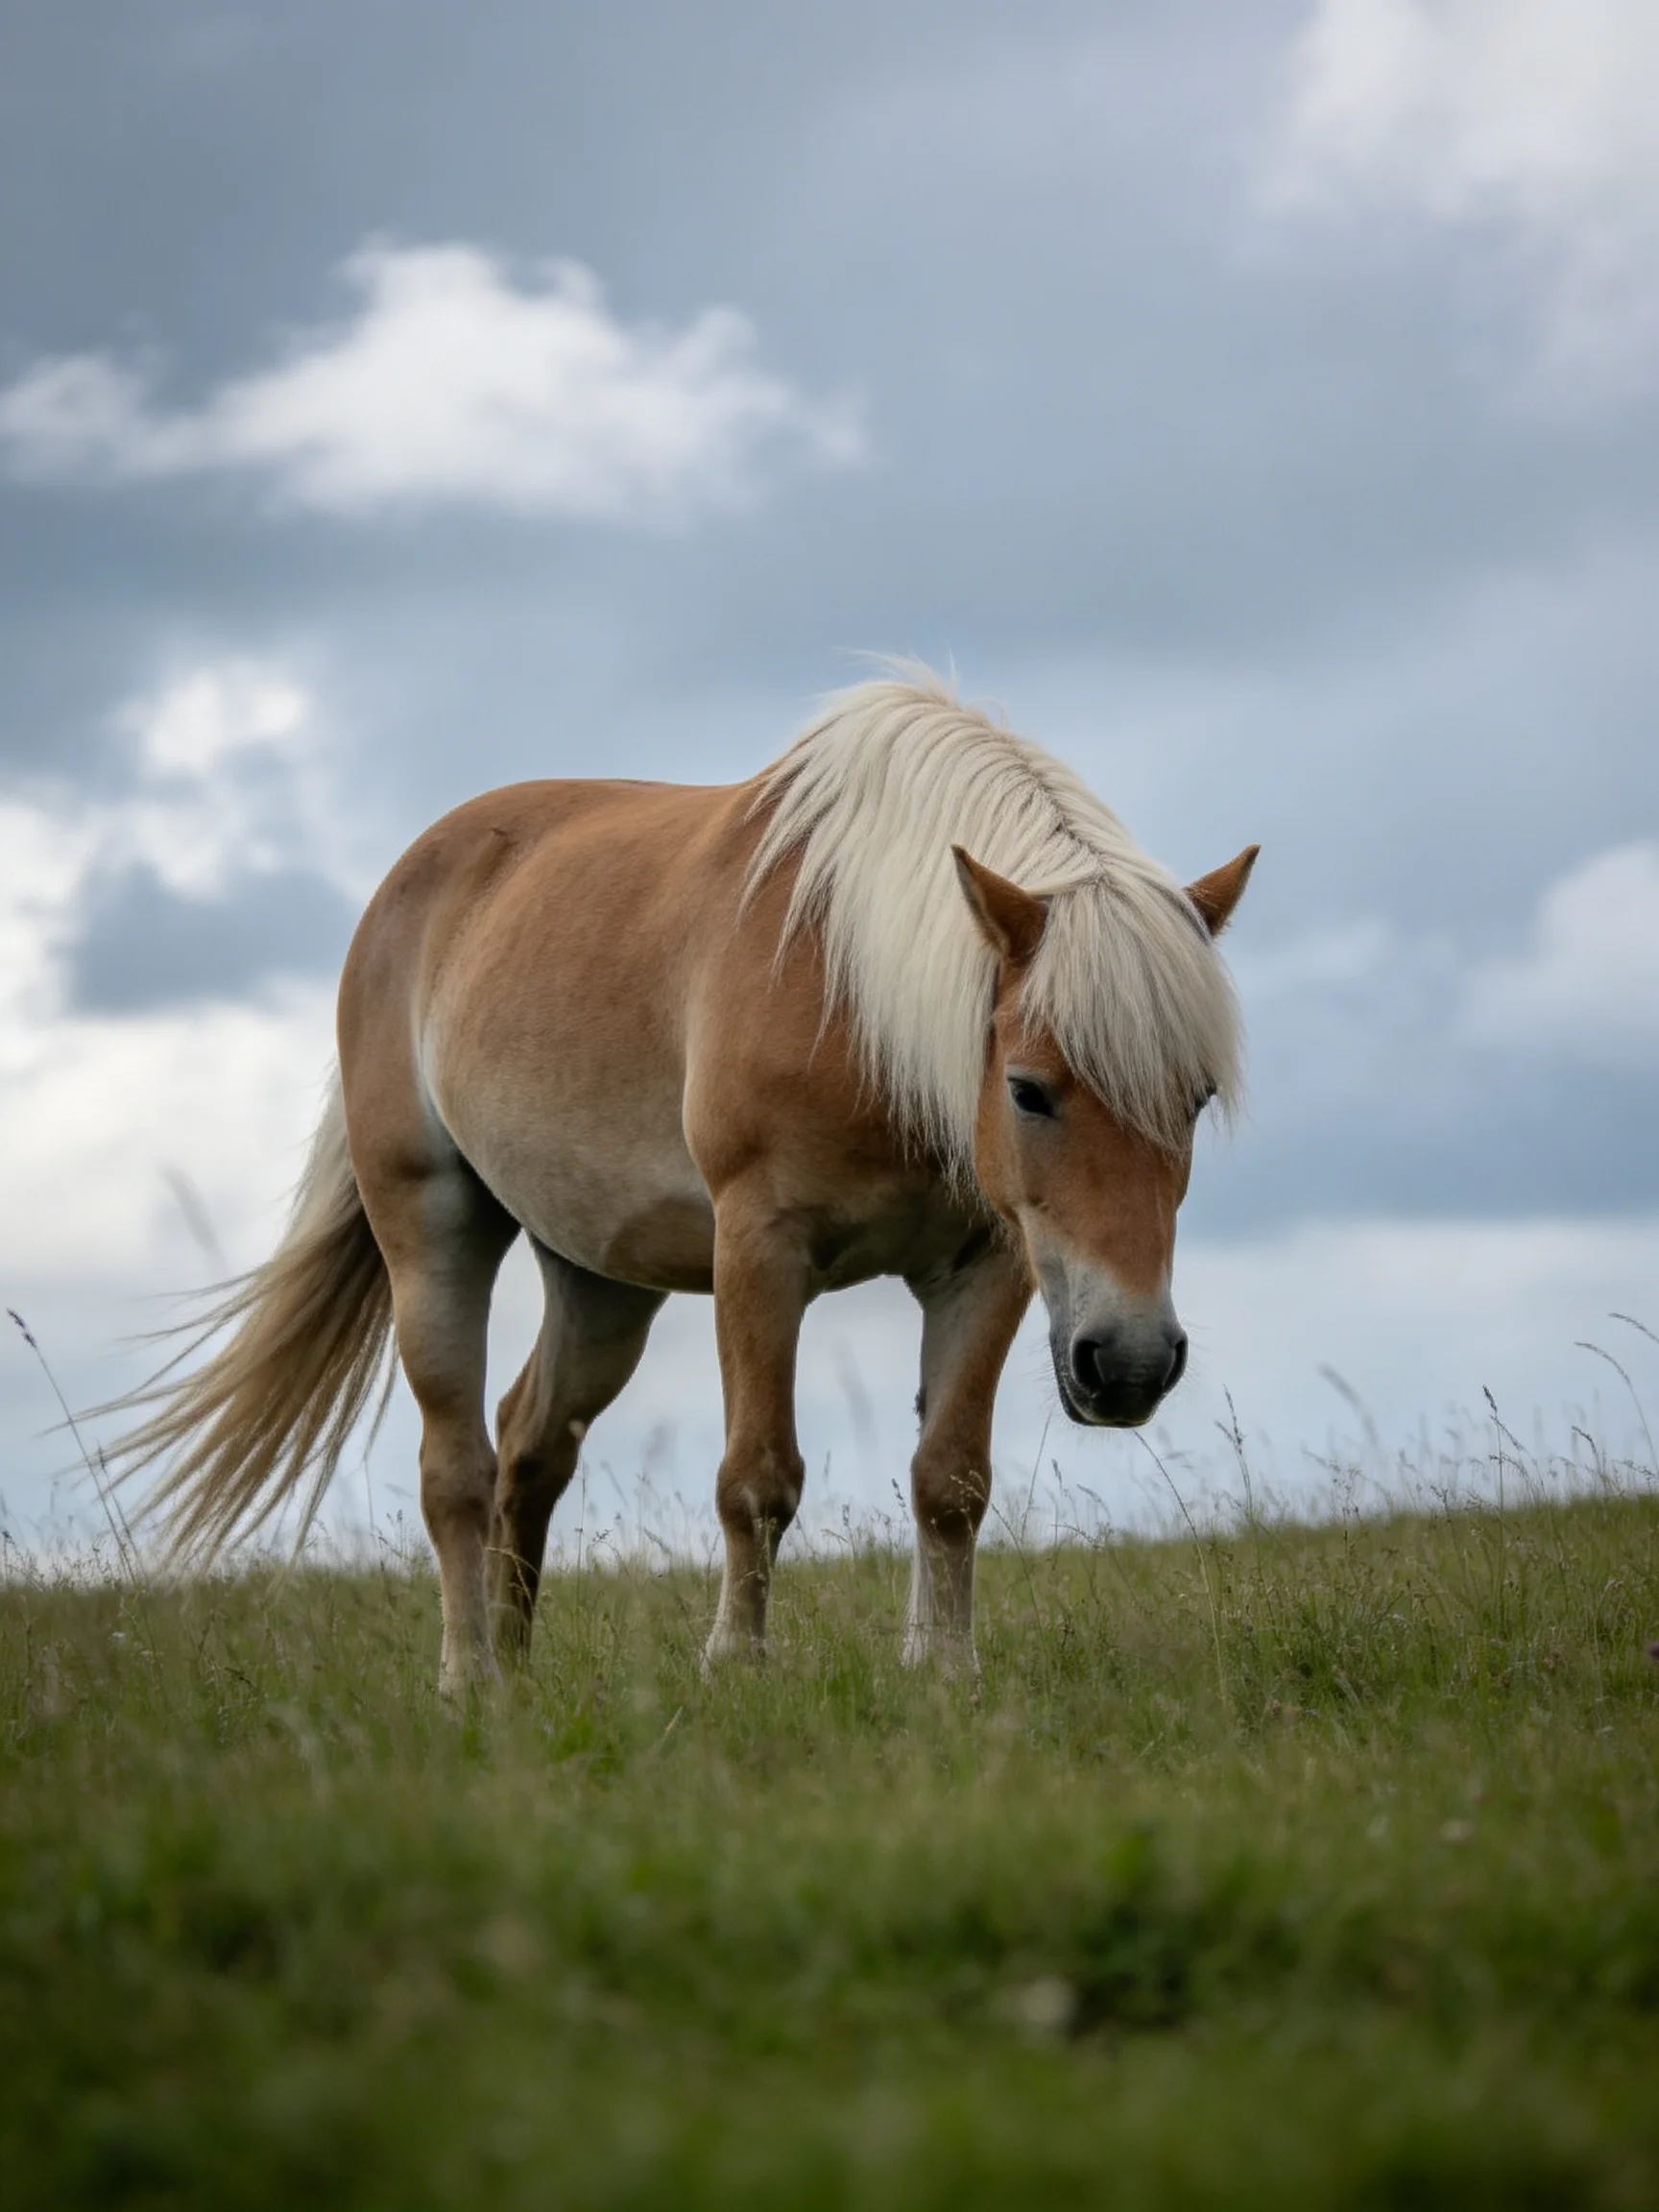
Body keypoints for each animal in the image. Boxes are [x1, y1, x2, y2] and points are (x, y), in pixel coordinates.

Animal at [110, 669, 1255, 1693]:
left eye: (1198, 1095)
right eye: (1027, 1090)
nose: (1133, 1362)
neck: (859, 995)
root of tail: (411, 882)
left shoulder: (989, 1265)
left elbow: (951, 1480)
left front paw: (944, 1674)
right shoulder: (759, 1249)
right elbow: (757, 1478)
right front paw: (737, 1667)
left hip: (601, 1280)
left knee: (531, 1442)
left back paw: (518, 1676)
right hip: (431, 1231)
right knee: (457, 1469)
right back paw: (468, 1679)